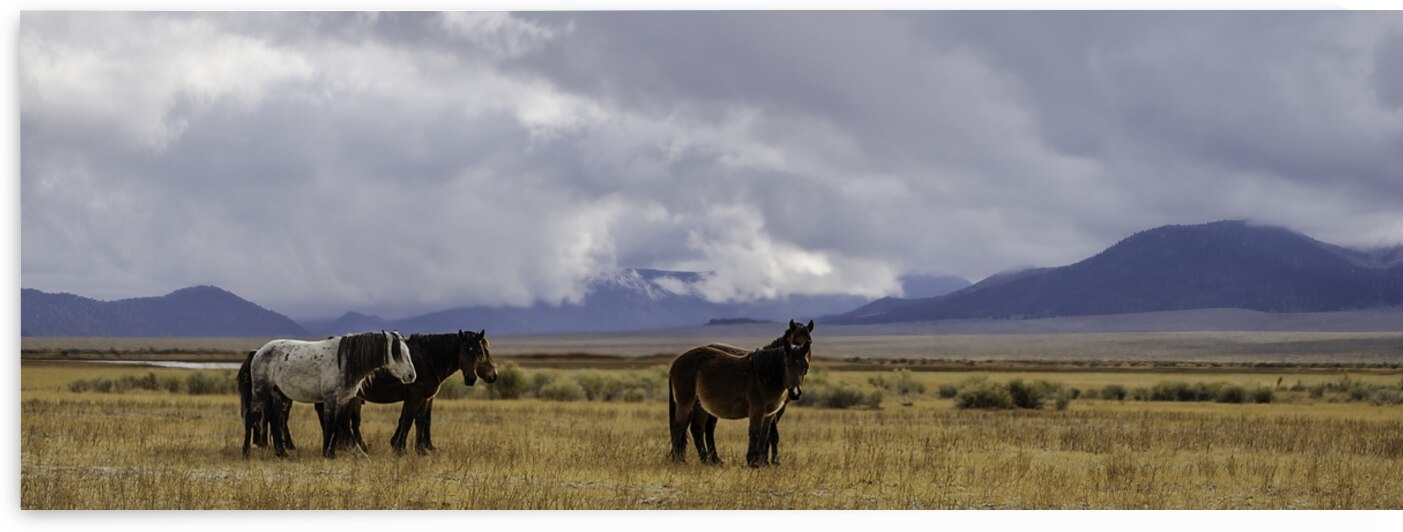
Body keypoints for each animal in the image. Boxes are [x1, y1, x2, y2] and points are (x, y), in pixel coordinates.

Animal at [246, 331, 416, 458]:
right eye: (397, 354)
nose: (411, 376)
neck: (345, 361)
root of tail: (259, 351)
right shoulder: (329, 400)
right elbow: (329, 424)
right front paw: (327, 453)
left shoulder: (342, 401)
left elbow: (336, 424)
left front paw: (331, 453)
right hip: (260, 391)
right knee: (251, 417)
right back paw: (245, 453)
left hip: (278, 395)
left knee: (275, 421)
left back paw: (282, 454)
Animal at [315, 330, 498, 456]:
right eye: (467, 351)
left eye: (480, 352)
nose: (493, 375)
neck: (428, 359)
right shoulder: (415, 397)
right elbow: (409, 421)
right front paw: (401, 449)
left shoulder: (424, 398)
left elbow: (421, 420)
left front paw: (423, 449)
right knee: (344, 422)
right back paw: (355, 448)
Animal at [668, 340, 811, 467]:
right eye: (787, 365)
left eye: (804, 367)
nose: (795, 393)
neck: (764, 377)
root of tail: (676, 362)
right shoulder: (756, 411)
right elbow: (755, 432)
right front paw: (753, 461)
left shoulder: (769, 414)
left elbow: (765, 435)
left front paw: (761, 462)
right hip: (685, 404)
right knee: (678, 427)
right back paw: (679, 461)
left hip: (701, 405)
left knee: (697, 429)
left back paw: (705, 461)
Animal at [694, 319, 814, 465]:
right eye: (795, 339)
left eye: (809, 340)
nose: (803, 360)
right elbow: (772, 434)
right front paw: (767, 460)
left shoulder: (779, 408)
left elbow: (769, 433)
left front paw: (767, 459)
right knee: (708, 428)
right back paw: (713, 459)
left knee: (708, 428)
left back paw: (715, 459)